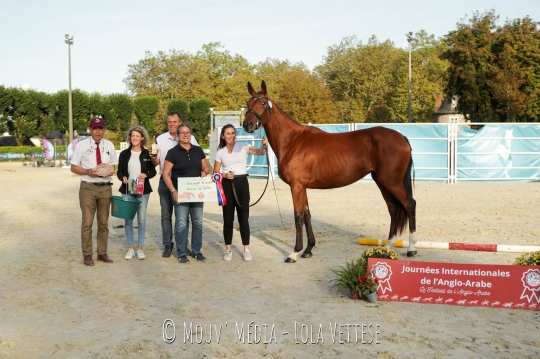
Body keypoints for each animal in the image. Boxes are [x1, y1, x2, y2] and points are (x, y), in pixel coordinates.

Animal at [244, 80, 418, 262]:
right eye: (248, 104)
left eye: (263, 103)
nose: (247, 125)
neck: (292, 141)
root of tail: (401, 137)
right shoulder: (302, 187)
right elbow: (307, 216)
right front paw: (308, 249)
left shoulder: (296, 187)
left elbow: (298, 217)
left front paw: (294, 252)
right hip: (382, 182)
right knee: (393, 209)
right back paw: (388, 246)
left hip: (392, 182)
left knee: (409, 204)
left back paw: (411, 248)